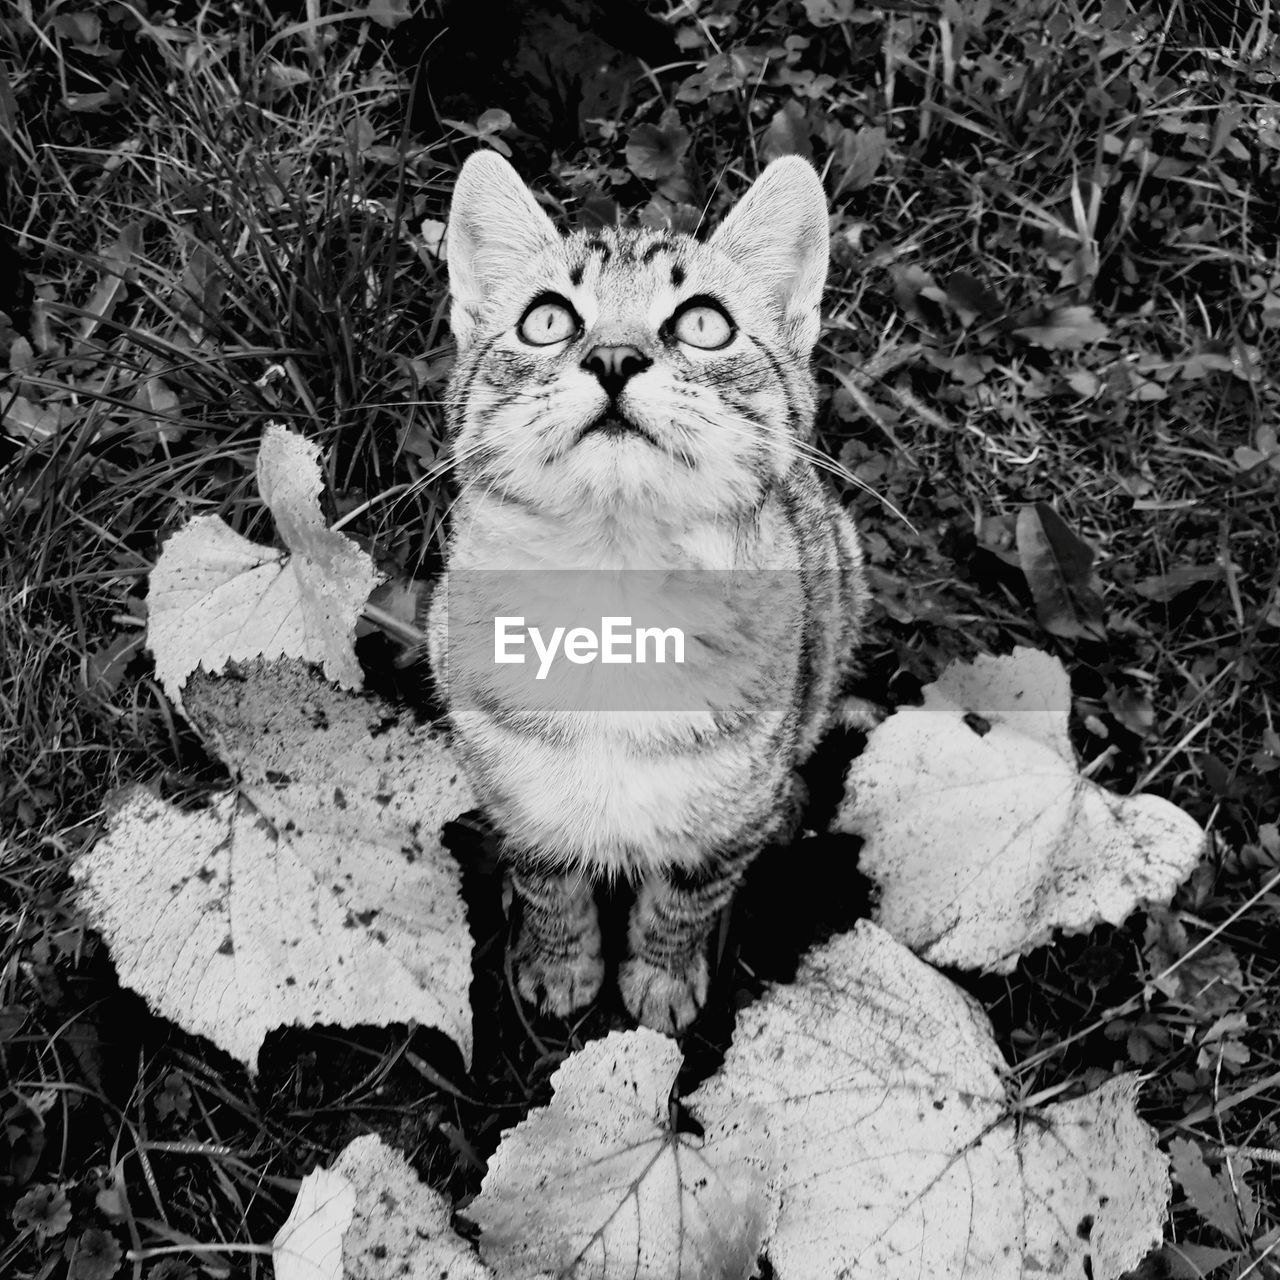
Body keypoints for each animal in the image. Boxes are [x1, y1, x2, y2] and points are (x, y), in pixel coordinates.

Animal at [424, 149, 865, 1034]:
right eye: (546, 320)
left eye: (703, 323)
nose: (615, 358)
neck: (615, 602)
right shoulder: (512, 792)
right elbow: (546, 881)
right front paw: (561, 964)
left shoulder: (722, 825)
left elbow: (687, 899)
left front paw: (662, 976)